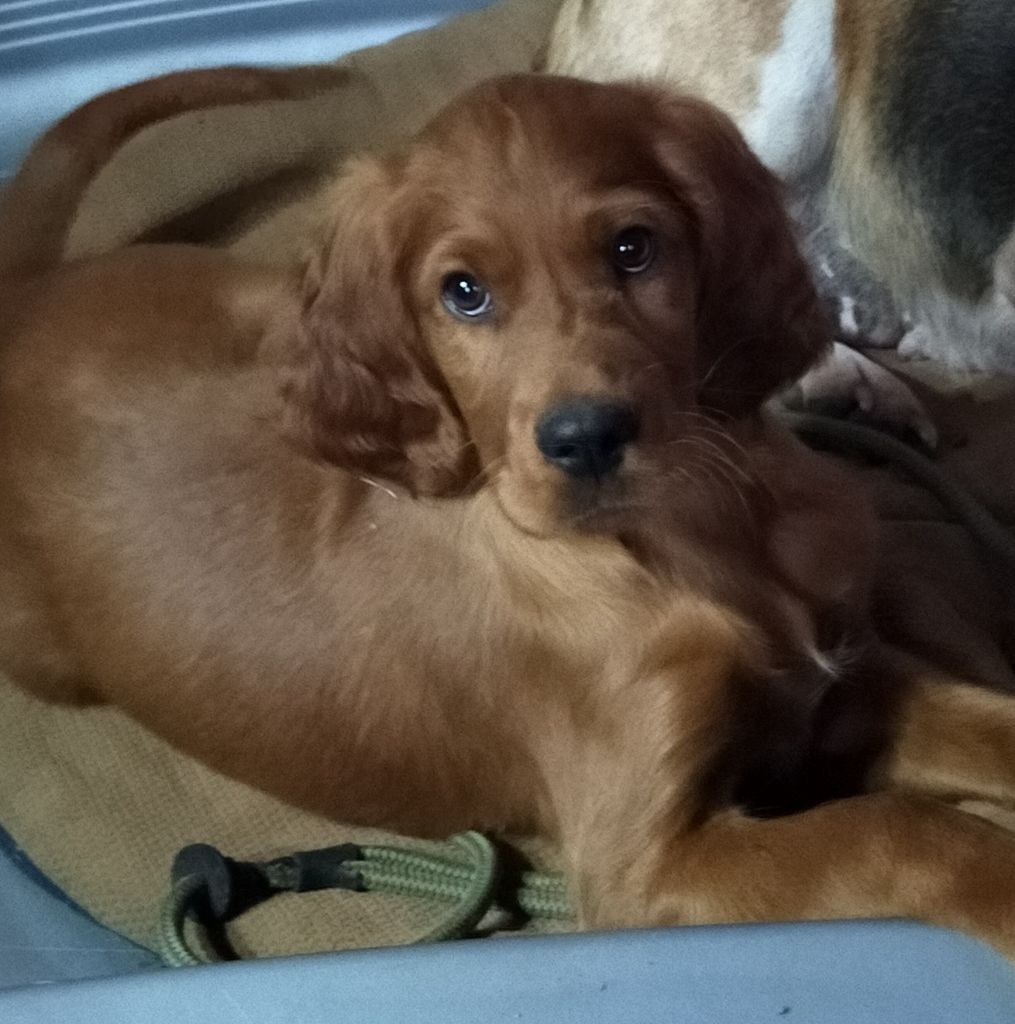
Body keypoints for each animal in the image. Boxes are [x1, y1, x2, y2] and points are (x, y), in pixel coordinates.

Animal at [4, 69, 1015, 956]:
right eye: (464, 292)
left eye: (631, 248)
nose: (584, 437)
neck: (696, 535)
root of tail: (24, 306)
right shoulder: (644, 867)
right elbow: (895, 830)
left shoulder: (843, 683)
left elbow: (986, 722)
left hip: (258, 303)